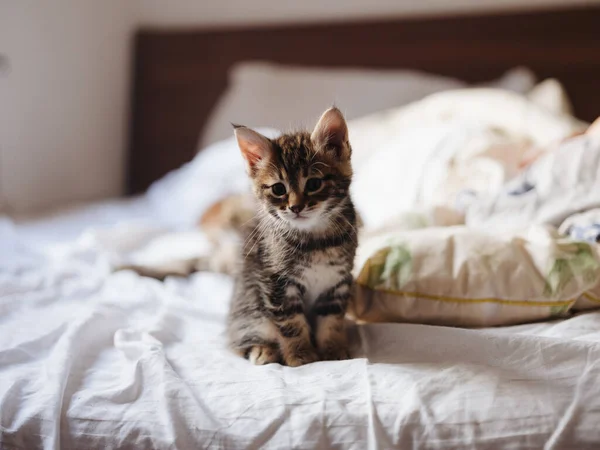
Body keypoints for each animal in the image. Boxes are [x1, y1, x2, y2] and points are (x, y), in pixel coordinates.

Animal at [226, 108, 356, 366]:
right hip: (249, 308)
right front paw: (301, 354)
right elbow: (291, 323)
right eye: (278, 189)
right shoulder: (276, 284)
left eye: (314, 183)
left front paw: (333, 348)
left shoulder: (337, 281)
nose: (296, 207)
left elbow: (331, 320)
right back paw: (262, 350)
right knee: (241, 338)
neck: (316, 239)